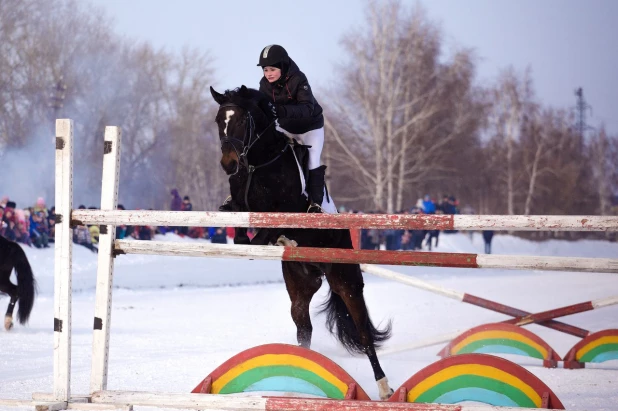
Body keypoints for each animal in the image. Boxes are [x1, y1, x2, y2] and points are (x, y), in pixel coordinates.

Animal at [206, 86, 390, 400]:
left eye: (241, 121)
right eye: (220, 121)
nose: (229, 164)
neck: (259, 162)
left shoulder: (288, 209)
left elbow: (265, 232)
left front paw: (271, 238)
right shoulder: (241, 205)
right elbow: (241, 228)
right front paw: (260, 239)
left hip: (345, 280)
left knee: (364, 334)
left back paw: (384, 387)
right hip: (300, 287)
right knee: (304, 329)